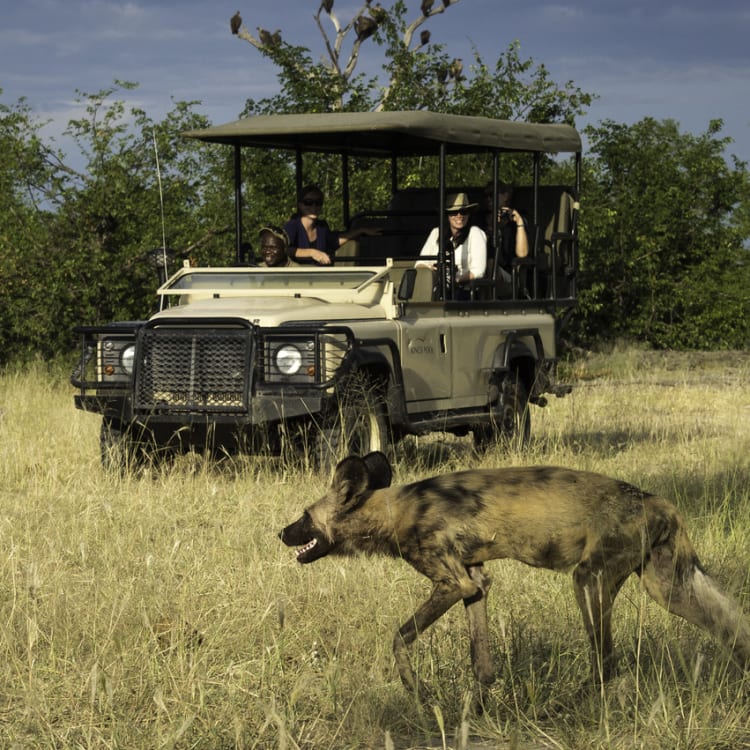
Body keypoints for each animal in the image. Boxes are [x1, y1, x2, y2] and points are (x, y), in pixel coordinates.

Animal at [280, 452, 750, 704]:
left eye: (304, 516)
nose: (281, 533)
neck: (395, 511)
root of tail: (657, 501)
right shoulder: (475, 584)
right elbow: (481, 663)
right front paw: (479, 709)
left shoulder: (451, 584)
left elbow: (398, 638)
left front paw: (417, 692)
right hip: (669, 588)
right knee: (731, 626)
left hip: (589, 582)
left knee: (605, 661)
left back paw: (572, 705)